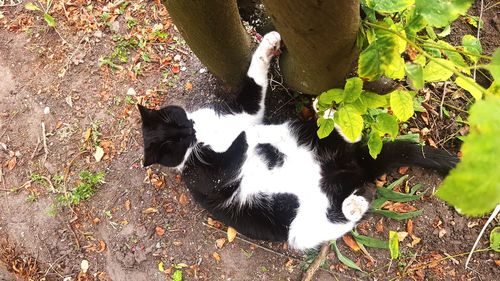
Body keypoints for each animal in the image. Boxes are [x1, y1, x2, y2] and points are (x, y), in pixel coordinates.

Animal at [137, 31, 458, 249]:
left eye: (178, 122)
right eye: (174, 142)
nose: (192, 132)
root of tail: (350, 168)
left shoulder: (246, 110)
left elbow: (253, 83)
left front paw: (268, 45)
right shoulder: (209, 178)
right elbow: (234, 151)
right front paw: (244, 139)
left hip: (306, 136)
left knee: (344, 143)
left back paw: (329, 113)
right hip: (301, 228)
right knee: (347, 211)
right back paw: (355, 202)